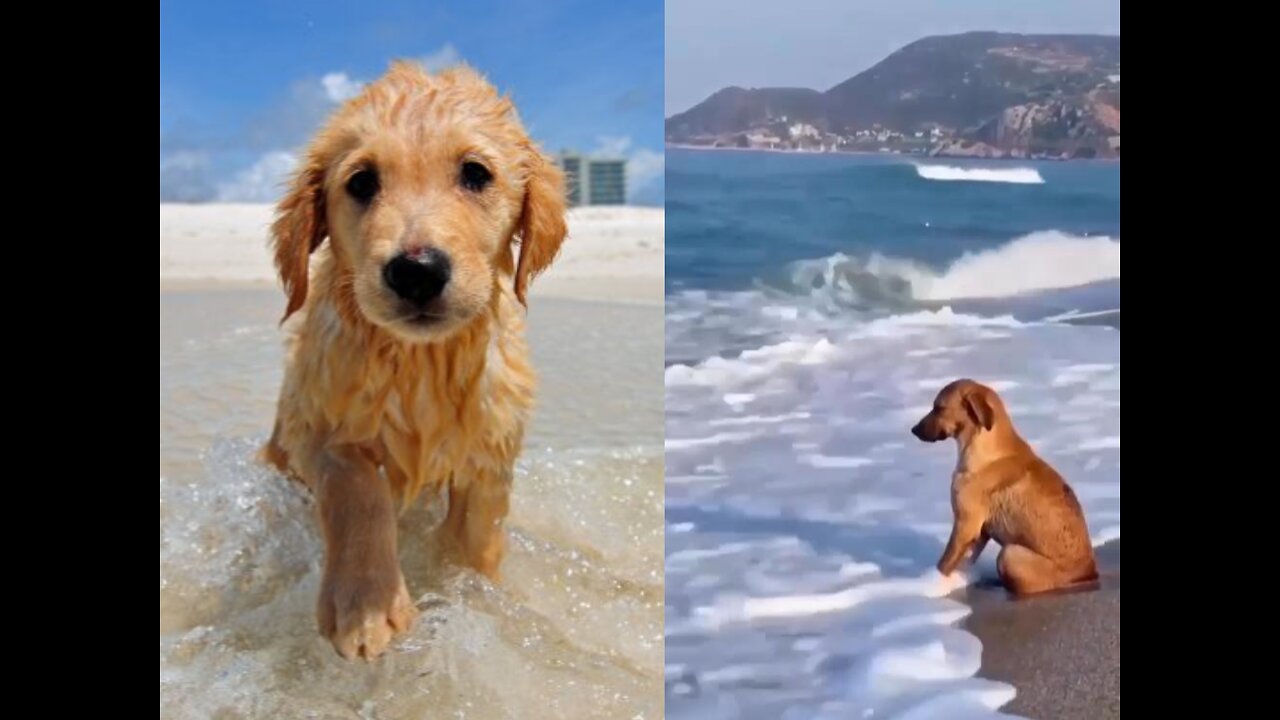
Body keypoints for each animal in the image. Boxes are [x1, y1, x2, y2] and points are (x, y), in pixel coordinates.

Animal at [259, 60, 565, 655]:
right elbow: (356, 487)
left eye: (475, 174)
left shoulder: (490, 455)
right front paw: (364, 604)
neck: (421, 361)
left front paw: (471, 595)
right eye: (361, 182)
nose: (417, 271)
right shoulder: (317, 417)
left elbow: (474, 540)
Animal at [911, 376, 1100, 594]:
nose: (913, 430)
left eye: (939, 408)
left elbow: (944, 563)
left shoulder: (965, 524)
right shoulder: (979, 532)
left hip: (1010, 554)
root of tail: (1090, 571)